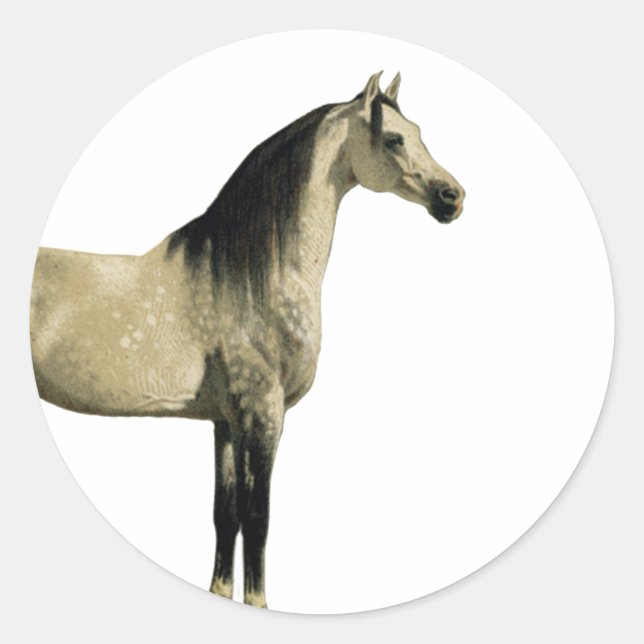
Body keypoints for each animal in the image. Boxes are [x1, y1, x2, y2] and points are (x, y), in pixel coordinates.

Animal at [30, 71, 465, 608]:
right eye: (394, 139)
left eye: (419, 132)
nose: (452, 197)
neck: (249, 276)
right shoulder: (263, 414)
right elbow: (258, 518)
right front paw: (259, 603)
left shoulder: (226, 421)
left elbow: (226, 515)